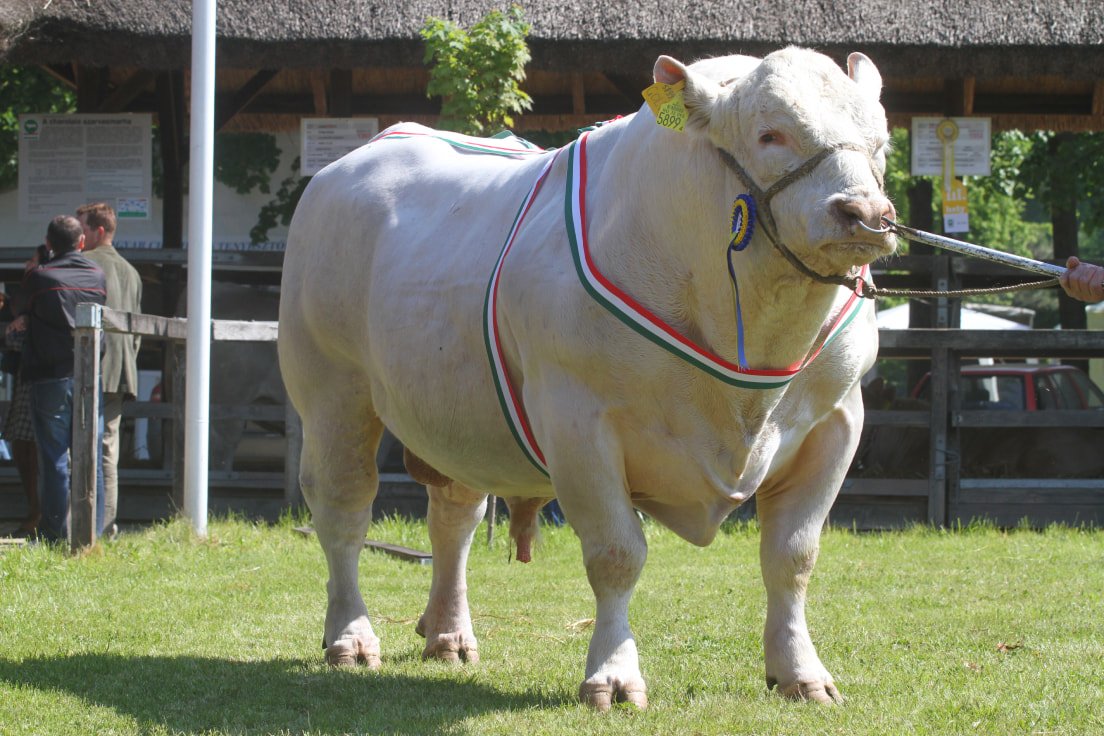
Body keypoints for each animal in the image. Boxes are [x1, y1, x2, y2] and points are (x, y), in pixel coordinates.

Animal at [276, 44, 896, 706]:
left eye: (880, 142)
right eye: (770, 134)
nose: (866, 213)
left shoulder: (837, 420)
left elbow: (792, 555)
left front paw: (800, 671)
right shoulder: (578, 419)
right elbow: (616, 554)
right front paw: (614, 675)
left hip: (455, 416)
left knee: (455, 516)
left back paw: (448, 635)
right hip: (332, 390)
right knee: (343, 508)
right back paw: (350, 636)